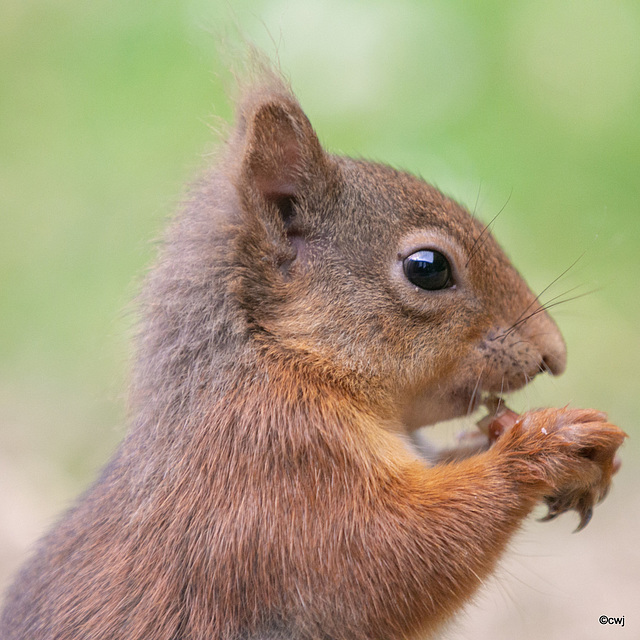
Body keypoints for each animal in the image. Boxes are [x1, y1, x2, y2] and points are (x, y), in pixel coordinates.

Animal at [0, 69, 624, 640]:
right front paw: (546, 443)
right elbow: (389, 560)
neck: (281, 359)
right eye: (428, 267)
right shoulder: (272, 472)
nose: (554, 355)